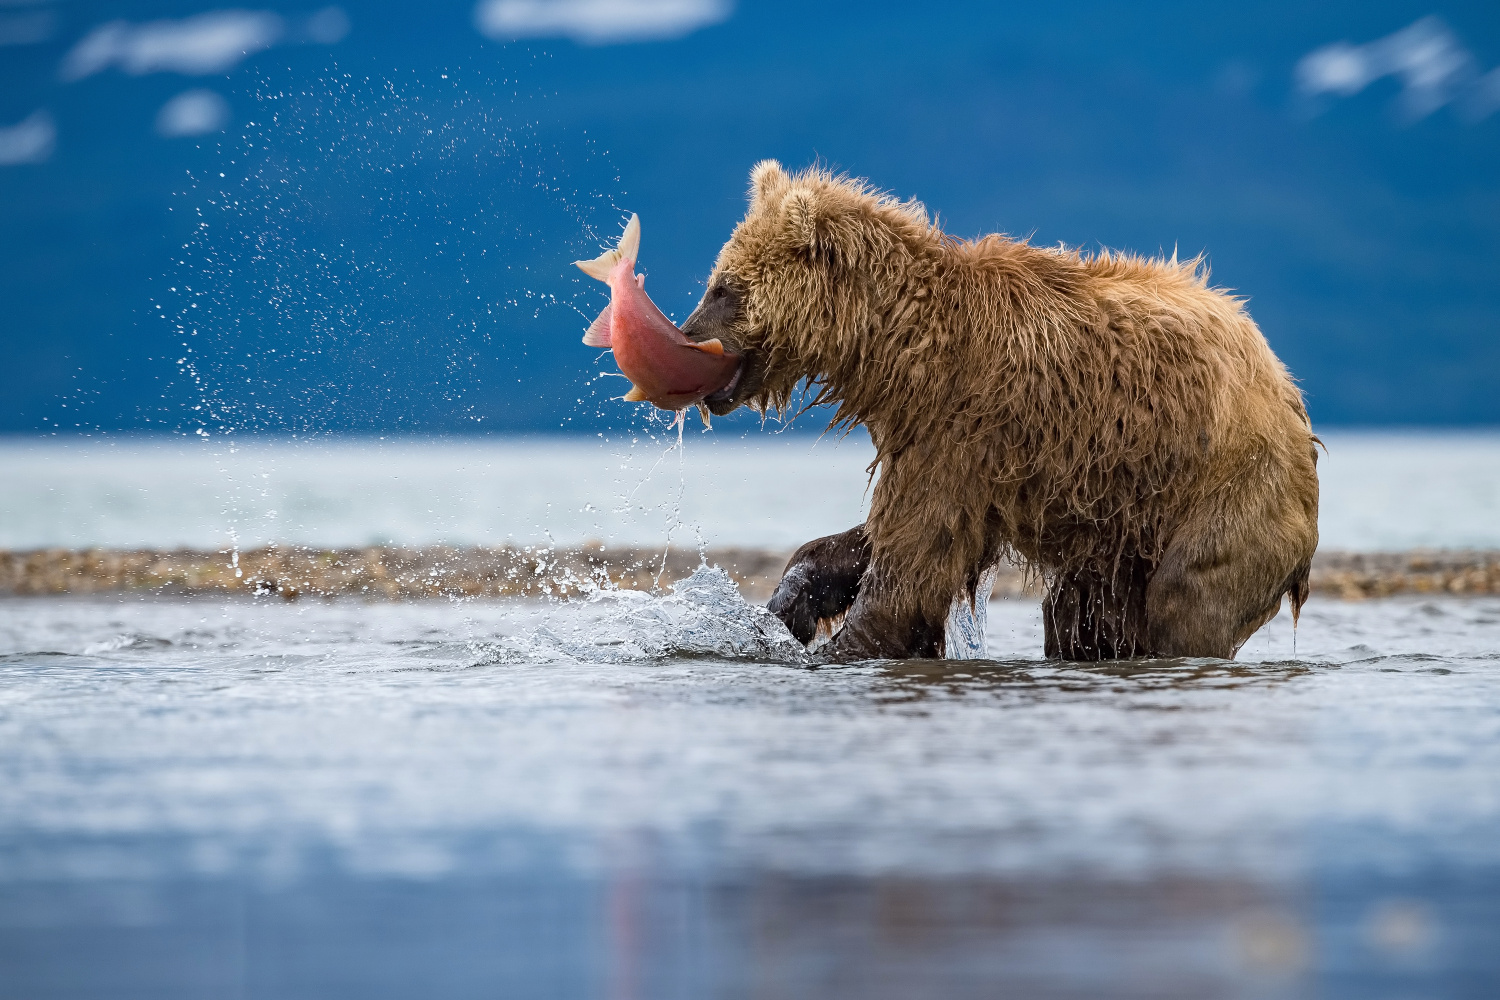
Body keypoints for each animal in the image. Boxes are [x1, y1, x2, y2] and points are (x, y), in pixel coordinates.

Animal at [687, 160, 1320, 659]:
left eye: (724, 288)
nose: (689, 333)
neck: (900, 351)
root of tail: (1287, 390)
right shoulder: (943, 444)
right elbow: (882, 538)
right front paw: (786, 607)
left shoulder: (965, 421)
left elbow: (910, 567)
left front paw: (835, 645)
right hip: (1120, 534)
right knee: (1080, 617)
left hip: (1223, 491)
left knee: (1187, 599)